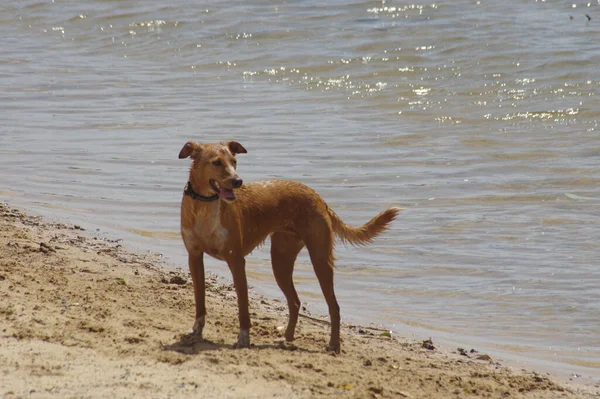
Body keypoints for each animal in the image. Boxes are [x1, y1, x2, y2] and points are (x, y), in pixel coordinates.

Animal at [178, 141, 400, 354]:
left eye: (234, 162)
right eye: (216, 162)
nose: (238, 181)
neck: (205, 207)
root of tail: (318, 196)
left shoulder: (236, 261)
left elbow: (243, 307)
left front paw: (243, 339)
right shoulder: (194, 257)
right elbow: (200, 300)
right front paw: (196, 332)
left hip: (319, 259)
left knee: (334, 307)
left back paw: (333, 346)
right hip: (281, 261)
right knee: (295, 302)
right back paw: (287, 338)